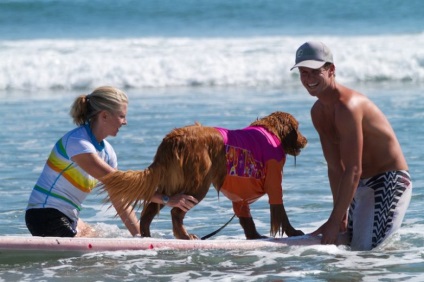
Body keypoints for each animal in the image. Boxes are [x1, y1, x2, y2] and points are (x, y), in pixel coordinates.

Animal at [102, 112, 308, 240]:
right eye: (297, 128)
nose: (306, 140)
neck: (270, 131)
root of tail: (171, 139)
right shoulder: (274, 179)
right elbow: (281, 212)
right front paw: (293, 231)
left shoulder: (238, 195)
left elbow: (246, 218)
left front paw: (255, 236)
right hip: (198, 184)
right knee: (175, 211)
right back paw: (184, 236)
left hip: (172, 182)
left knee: (151, 209)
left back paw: (146, 235)